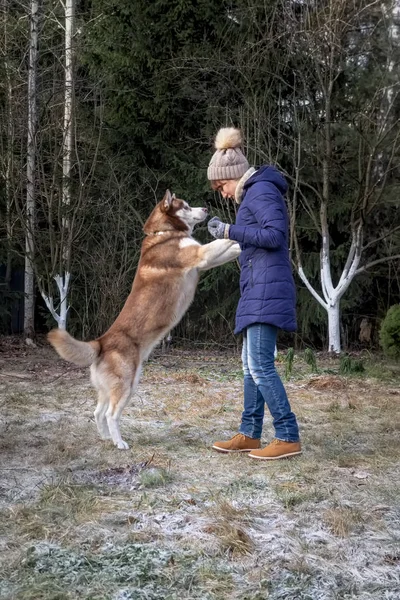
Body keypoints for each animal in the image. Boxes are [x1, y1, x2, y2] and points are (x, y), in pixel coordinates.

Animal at [47, 190, 241, 448]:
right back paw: (120, 443)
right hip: (126, 386)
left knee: (98, 412)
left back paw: (106, 438)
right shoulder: (200, 255)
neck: (163, 233)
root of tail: (101, 342)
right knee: (111, 414)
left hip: (117, 387)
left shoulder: (205, 262)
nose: (207, 209)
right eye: (186, 206)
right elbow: (220, 243)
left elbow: (229, 249)